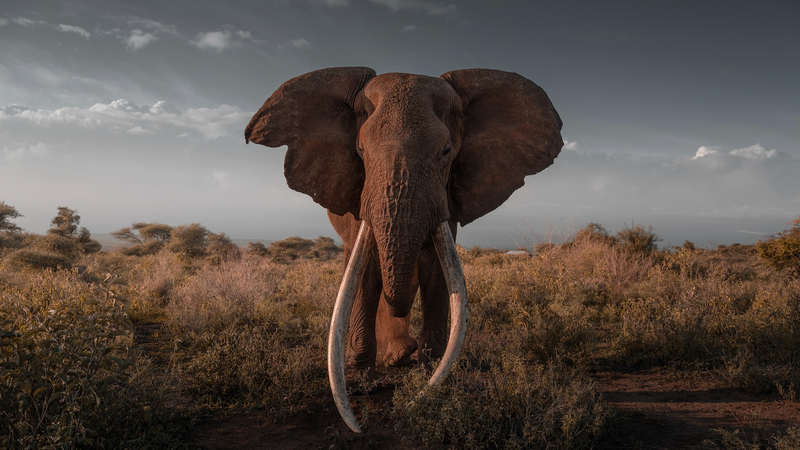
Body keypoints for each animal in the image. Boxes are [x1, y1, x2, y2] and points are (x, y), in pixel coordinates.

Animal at [244, 67, 562, 432]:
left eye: (446, 151)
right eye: (361, 150)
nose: (362, 427)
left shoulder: (446, 198)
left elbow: (438, 273)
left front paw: (430, 381)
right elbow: (367, 274)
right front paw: (363, 387)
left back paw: (400, 355)